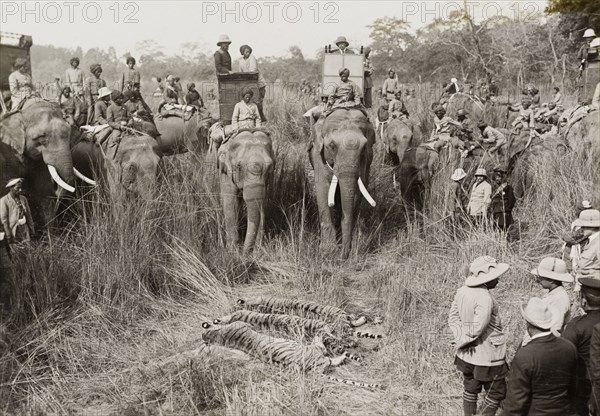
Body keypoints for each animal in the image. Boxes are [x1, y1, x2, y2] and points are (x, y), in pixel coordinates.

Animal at [0, 101, 95, 231]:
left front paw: (51, 235)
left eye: (69, 134)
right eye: (41, 137)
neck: (21, 115)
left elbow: (44, 194)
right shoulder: (7, 155)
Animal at [310, 109, 376, 258]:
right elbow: (323, 190)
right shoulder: (319, 155)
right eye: (332, 146)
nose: (344, 255)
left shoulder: (365, 162)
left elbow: (357, 192)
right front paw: (327, 251)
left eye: (364, 147)